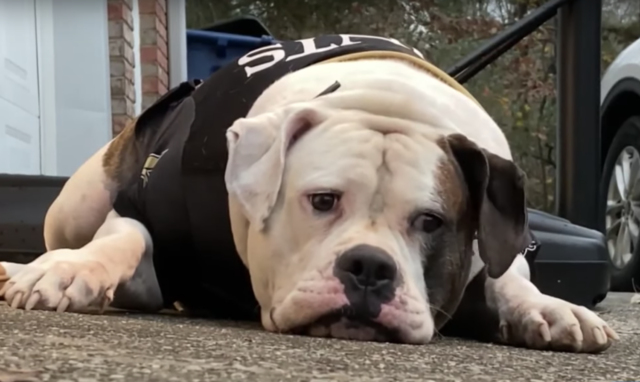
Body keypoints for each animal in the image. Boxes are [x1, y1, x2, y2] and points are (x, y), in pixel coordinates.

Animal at [1, 34, 620, 350]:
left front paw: (548, 308)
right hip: (76, 202)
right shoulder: (141, 221)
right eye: (322, 200)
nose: (369, 266)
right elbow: (121, 239)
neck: (386, 102)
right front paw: (68, 272)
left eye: (431, 222)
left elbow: (509, 275)